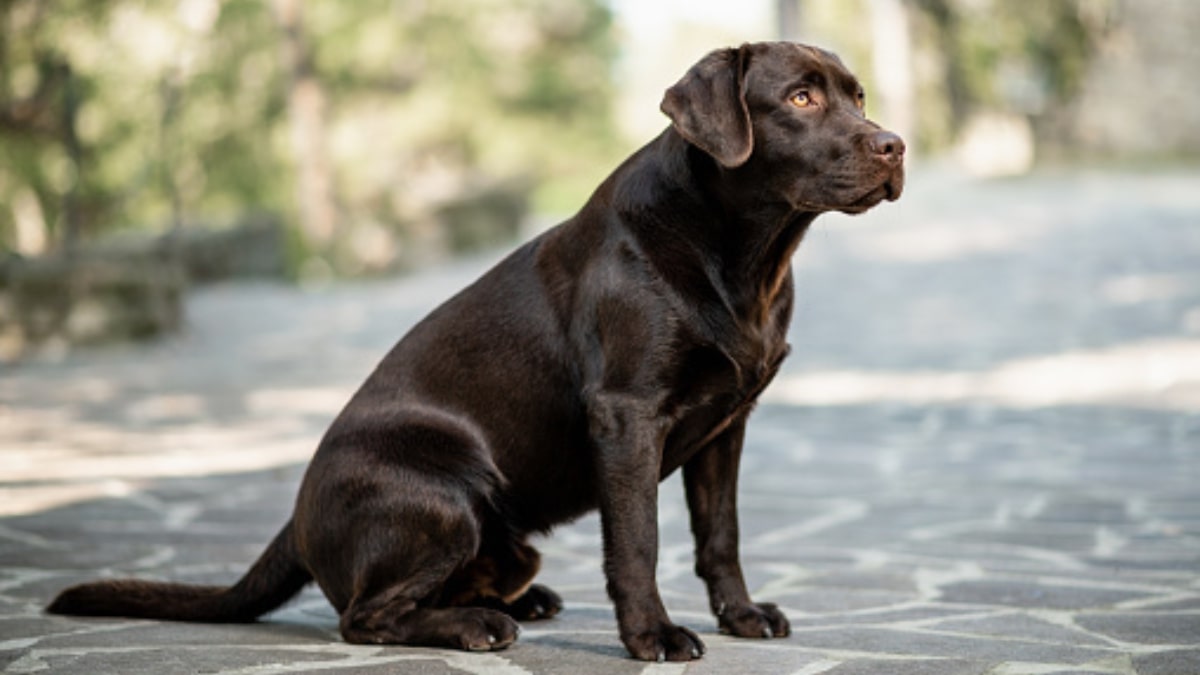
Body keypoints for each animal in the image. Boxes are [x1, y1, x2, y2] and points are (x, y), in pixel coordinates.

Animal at [51, 40, 902, 658]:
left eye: (858, 95)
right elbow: (639, 540)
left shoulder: (728, 423)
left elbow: (719, 534)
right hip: (445, 493)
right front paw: (652, 635)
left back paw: (519, 600)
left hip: (504, 533)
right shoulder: (628, 415)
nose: (895, 144)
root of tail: (294, 519)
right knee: (363, 616)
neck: (744, 255)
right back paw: (476, 625)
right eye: (800, 98)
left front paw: (742, 614)